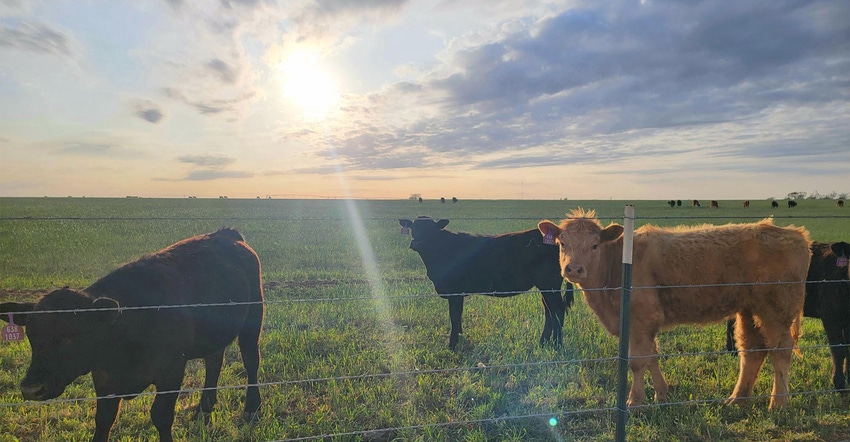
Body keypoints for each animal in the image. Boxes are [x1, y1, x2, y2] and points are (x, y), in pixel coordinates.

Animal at [0, 228, 262, 442]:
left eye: (70, 337)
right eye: (32, 337)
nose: (31, 389)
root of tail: (227, 234)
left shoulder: (171, 371)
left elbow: (161, 416)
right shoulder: (104, 377)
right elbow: (104, 419)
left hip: (253, 319)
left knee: (251, 362)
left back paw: (252, 406)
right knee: (214, 360)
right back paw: (205, 405)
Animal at [400, 216, 572, 350]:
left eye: (431, 230)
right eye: (413, 228)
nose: (416, 243)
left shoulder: (455, 292)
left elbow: (454, 316)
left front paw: (452, 345)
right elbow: (458, 316)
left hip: (549, 284)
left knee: (557, 310)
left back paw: (557, 344)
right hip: (545, 287)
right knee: (549, 311)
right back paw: (543, 342)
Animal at [536, 209, 808, 410]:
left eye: (594, 245)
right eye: (562, 243)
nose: (573, 269)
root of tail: (793, 233)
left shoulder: (642, 318)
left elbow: (638, 361)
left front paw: (634, 400)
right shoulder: (639, 324)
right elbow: (652, 355)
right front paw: (662, 394)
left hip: (776, 309)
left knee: (780, 350)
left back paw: (778, 403)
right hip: (750, 309)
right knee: (752, 350)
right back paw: (737, 399)